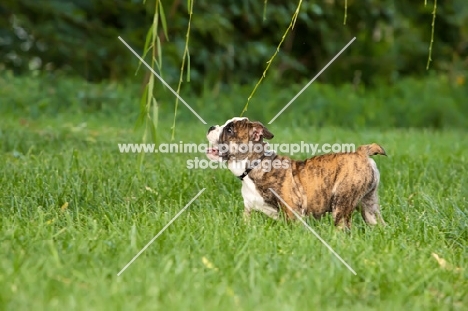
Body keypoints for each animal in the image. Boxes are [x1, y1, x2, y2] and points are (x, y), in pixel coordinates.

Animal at [207, 117, 386, 229]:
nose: (211, 127)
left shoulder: (292, 211)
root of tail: (362, 153)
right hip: (369, 205)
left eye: (229, 130)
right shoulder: (249, 210)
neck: (253, 165)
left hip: (341, 203)